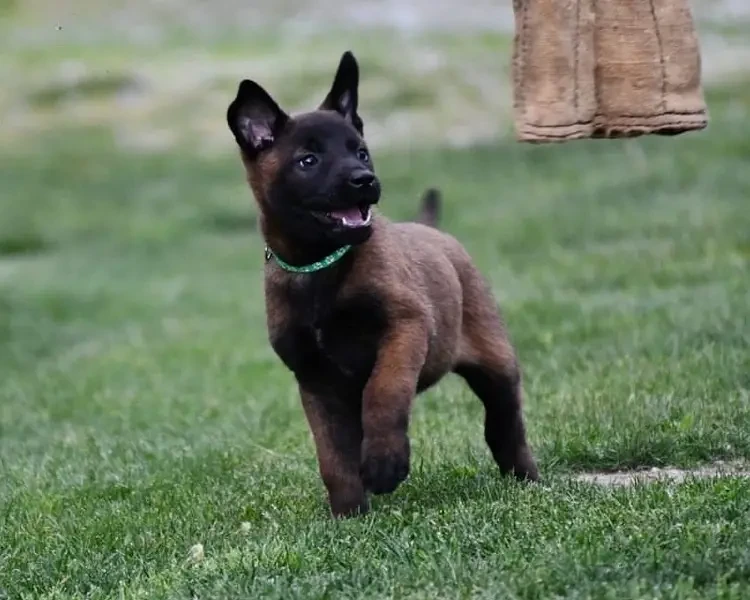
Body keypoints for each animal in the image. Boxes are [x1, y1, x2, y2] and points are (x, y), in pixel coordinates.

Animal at [226, 50, 536, 516]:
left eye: (362, 152)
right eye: (308, 160)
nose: (364, 180)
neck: (321, 266)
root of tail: (434, 231)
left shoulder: (404, 328)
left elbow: (384, 394)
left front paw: (386, 463)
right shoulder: (314, 378)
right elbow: (332, 453)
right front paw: (349, 513)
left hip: (496, 361)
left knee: (505, 417)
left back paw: (524, 474)